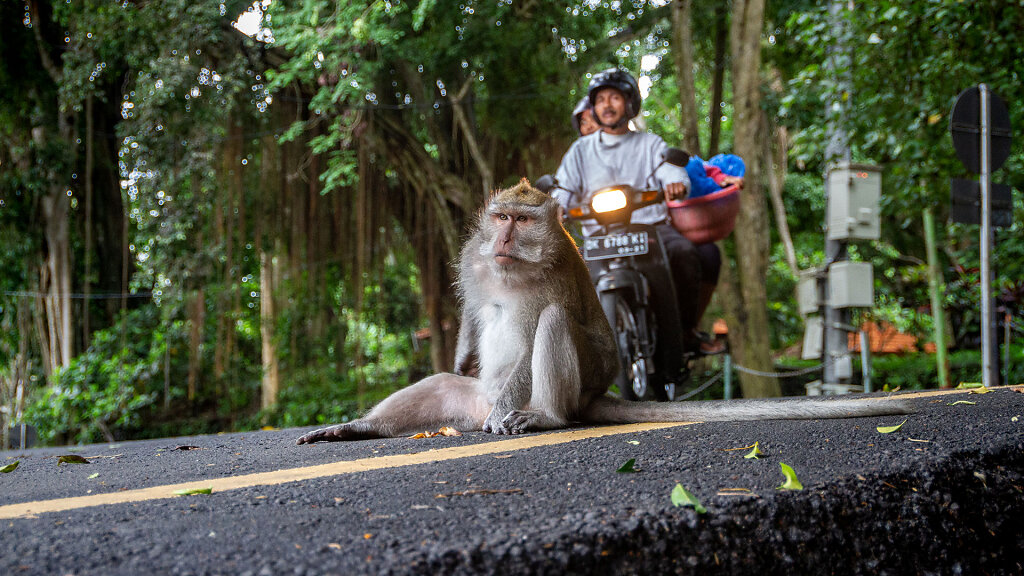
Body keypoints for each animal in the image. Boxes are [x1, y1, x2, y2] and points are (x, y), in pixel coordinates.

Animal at [294, 180, 905, 444]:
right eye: (500, 218)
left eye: (523, 221)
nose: (504, 238)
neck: (510, 268)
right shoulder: (474, 261)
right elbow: (471, 311)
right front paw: (465, 348)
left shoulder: (556, 276)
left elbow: (542, 326)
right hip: (466, 402)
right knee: (444, 385)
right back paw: (358, 428)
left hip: (564, 389)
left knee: (552, 332)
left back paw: (540, 416)